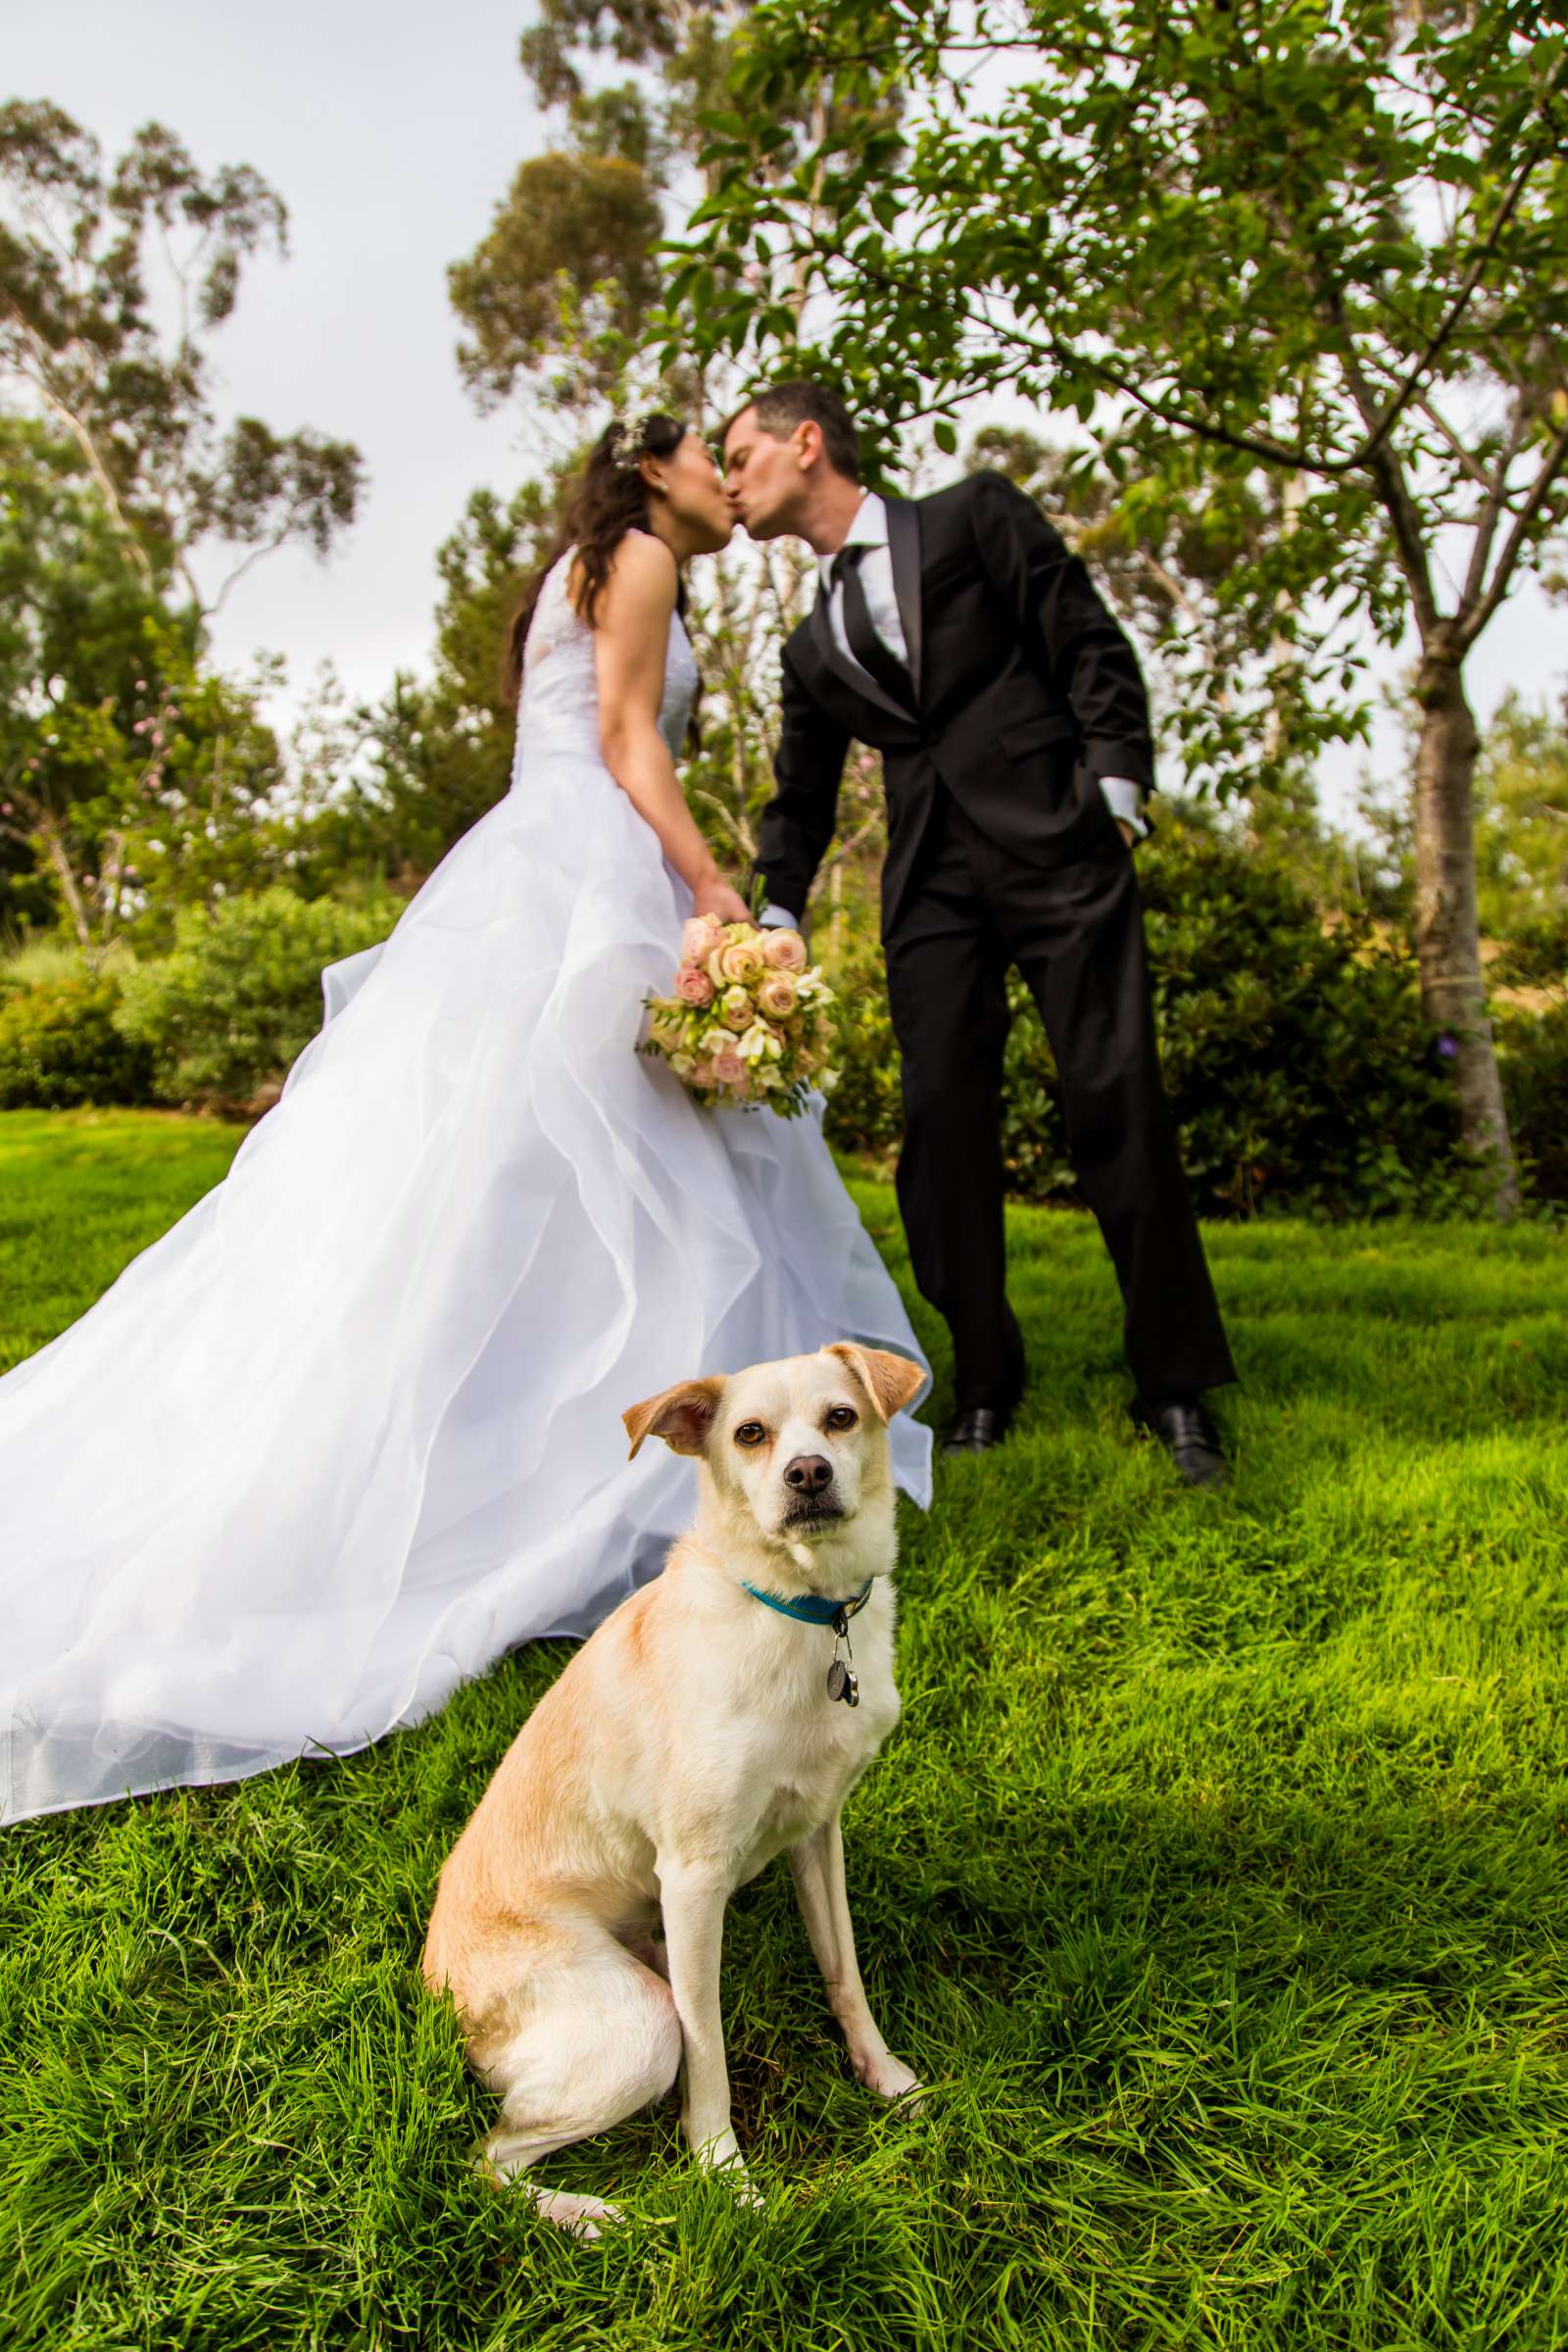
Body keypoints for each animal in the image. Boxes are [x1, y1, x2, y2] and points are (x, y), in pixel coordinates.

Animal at [422, 1345, 926, 2238]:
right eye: (750, 1434)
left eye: (841, 1418)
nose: (807, 1472)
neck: (803, 1611)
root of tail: (434, 1989)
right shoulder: (691, 1879)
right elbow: (710, 2050)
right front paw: (723, 2175)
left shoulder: (816, 1831)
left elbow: (845, 1972)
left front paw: (882, 2073)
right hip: (639, 2024)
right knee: (488, 2158)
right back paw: (590, 2216)